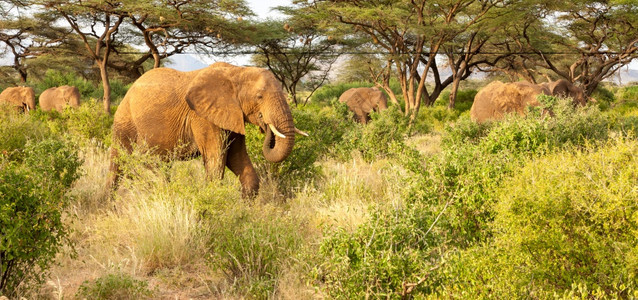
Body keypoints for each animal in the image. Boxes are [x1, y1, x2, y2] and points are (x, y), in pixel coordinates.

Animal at [109, 61, 308, 197]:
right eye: (259, 96)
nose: (265, 125)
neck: (237, 71)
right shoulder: (202, 117)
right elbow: (216, 162)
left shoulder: (232, 116)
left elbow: (238, 159)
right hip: (124, 119)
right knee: (119, 162)